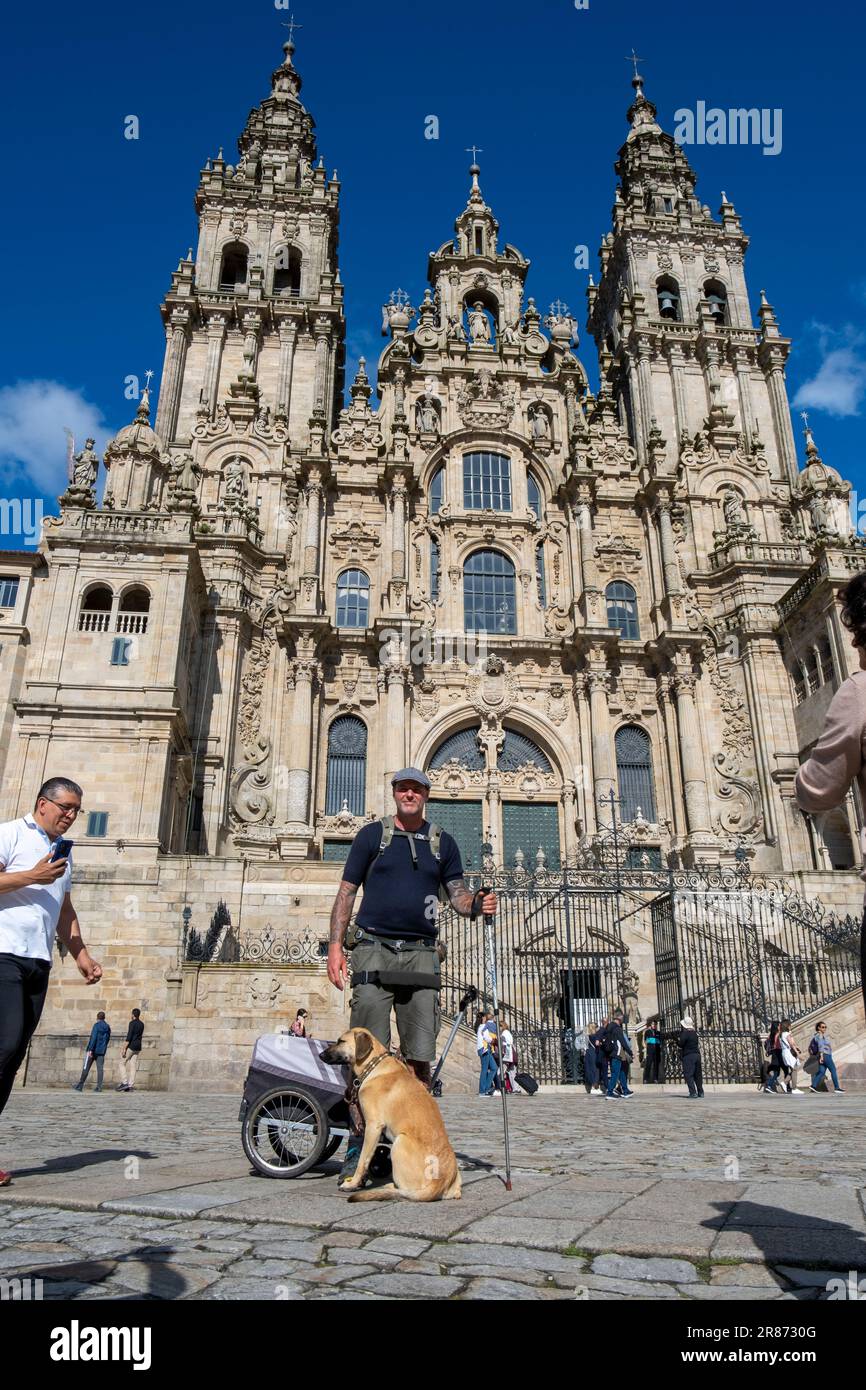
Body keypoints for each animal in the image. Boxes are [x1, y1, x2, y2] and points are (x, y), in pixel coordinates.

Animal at [322, 1028, 464, 1200]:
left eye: (341, 1041)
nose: (320, 1055)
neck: (374, 1066)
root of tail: (439, 1182)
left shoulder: (373, 1126)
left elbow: (363, 1159)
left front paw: (353, 1183)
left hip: (399, 1142)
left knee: (406, 1189)